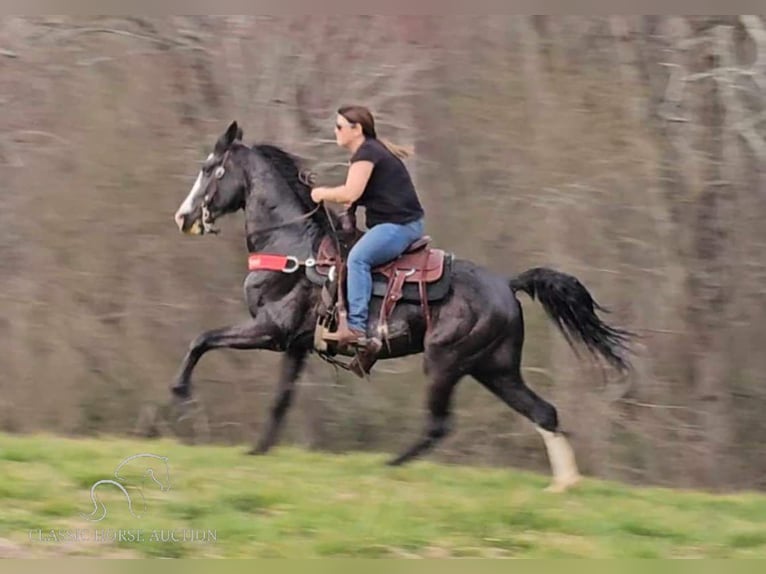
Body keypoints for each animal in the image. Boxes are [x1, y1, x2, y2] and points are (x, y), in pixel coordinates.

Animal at [174, 122, 636, 496]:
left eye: (209, 168)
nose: (183, 218)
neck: (291, 247)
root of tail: (508, 285)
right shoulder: (295, 346)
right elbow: (280, 399)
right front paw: (258, 451)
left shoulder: (270, 331)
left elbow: (202, 339)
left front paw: (179, 393)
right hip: (494, 368)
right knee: (542, 411)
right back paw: (563, 485)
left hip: (445, 361)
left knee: (439, 424)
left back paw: (391, 463)